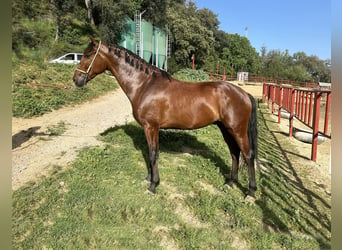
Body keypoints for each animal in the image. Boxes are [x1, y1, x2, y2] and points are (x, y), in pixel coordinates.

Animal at [74, 36, 256, 198]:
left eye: (88, 55)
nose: (76, 79)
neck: (144, 85)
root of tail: (244, 94)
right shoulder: (149, 128)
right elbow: (149, 152)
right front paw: (148, 178)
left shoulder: (151, 127)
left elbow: (153, 154)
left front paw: (153, 185)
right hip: (225, 129)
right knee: (234, 153)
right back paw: (231, 183)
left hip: (237, 130)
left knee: (248, 156)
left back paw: (250, 193)